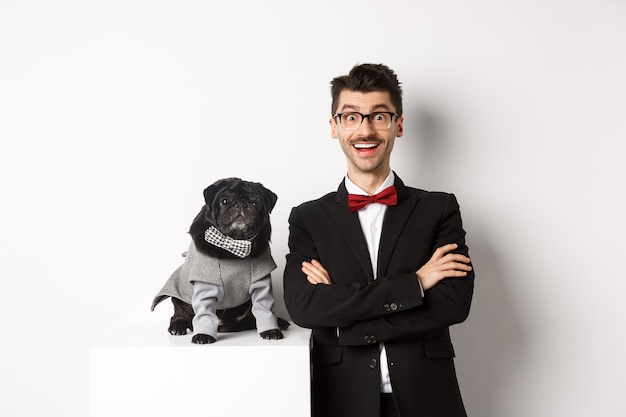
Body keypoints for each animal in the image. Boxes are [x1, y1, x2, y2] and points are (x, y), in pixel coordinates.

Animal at [150, 177, 288, 342]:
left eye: (255, 203)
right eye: (224, 201)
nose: (241, 204)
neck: (234, 245)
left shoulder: (261, 283)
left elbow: (264, 308)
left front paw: (271, 330)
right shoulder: (206, 284)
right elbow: (204, 312)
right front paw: (203, 335)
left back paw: (279, 321)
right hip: (181, 299)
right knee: (180, 314)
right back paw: (178, 326)